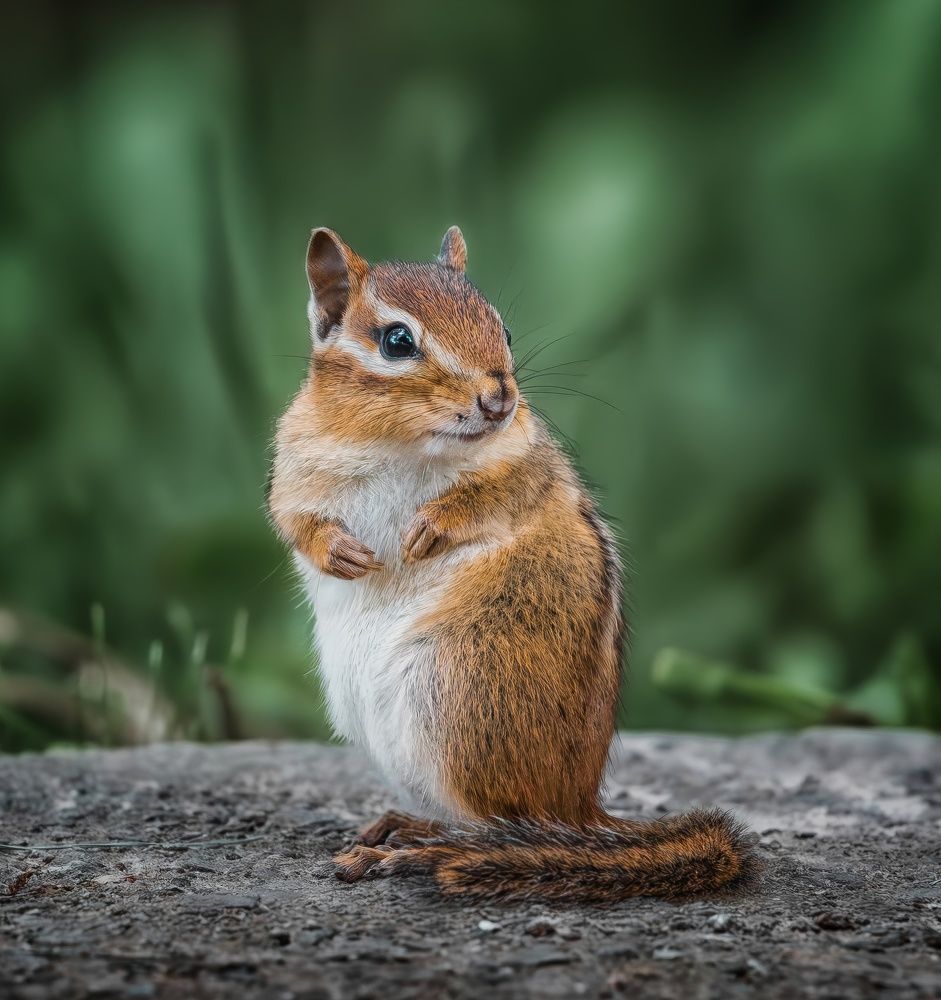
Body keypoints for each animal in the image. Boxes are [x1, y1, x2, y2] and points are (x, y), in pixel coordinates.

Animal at [267, 225, 758, 901]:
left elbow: (493, 496)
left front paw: (432, 527)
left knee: (506, 826)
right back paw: (413, 831)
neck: (402, 443)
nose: (499, 397)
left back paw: (417, 853)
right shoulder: (294, 471)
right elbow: (294, 521)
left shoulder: (529, 463)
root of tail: (579, 807)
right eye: (397, 341)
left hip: (455, 689)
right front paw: (339, 552)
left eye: (499, 324)